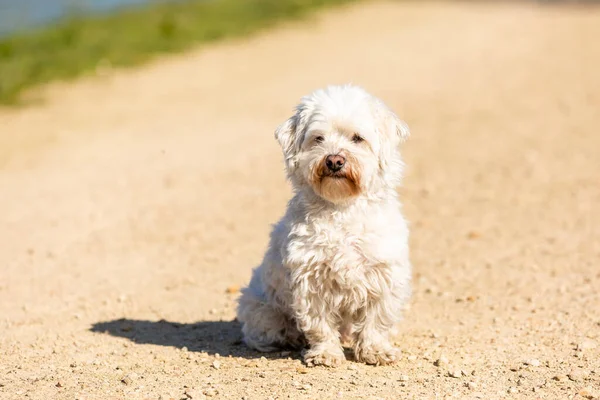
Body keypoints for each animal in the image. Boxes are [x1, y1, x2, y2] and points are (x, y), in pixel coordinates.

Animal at [237, 86, 410, 368]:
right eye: (318, 138)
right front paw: (325, 353)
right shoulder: (310, 279)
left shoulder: (383, 273)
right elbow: (319, 324)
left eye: (357, 138)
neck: (342, 208)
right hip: (260, 309)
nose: (334, 160)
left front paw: (376, 350)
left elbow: (376, 321)